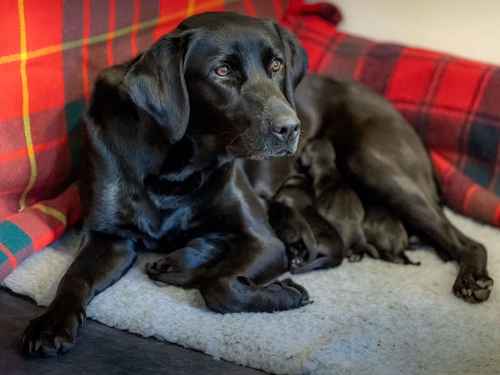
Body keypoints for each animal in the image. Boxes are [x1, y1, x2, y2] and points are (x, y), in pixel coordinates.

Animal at [24, 11, 312, 356]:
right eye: (222, 71)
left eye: (276, 65)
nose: (289, 127)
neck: (177, 167)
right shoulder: (109, 237)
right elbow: (73, 278)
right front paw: (52, 322)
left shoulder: (264, 240)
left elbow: (221, 285)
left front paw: (285, 292)